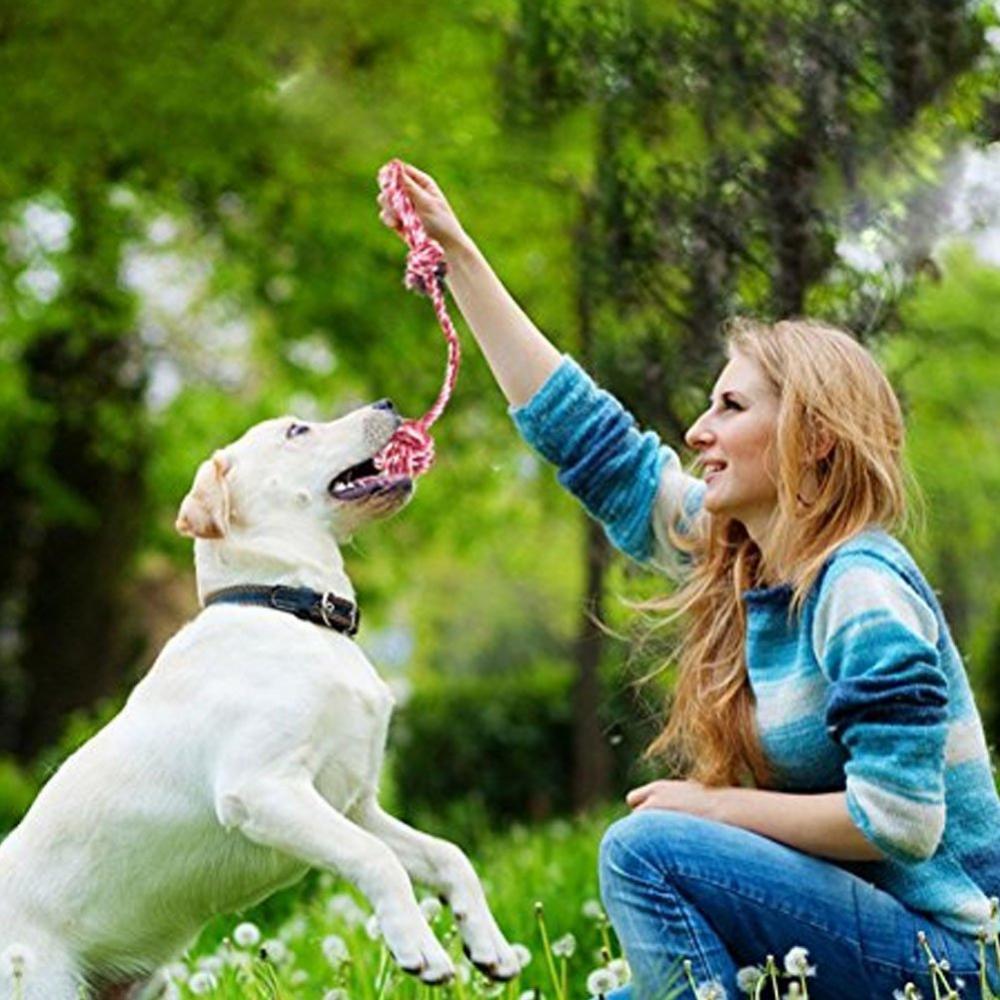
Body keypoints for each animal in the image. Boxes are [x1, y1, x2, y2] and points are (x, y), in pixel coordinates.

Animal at [1, 402, 524, 996]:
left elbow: (447, 855)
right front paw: (419, 948)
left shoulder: (352, 803)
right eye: (297, 430)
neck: (291, 609)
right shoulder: (263, 789)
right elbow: (377, 858)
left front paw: (489, 945)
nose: (388, 405)